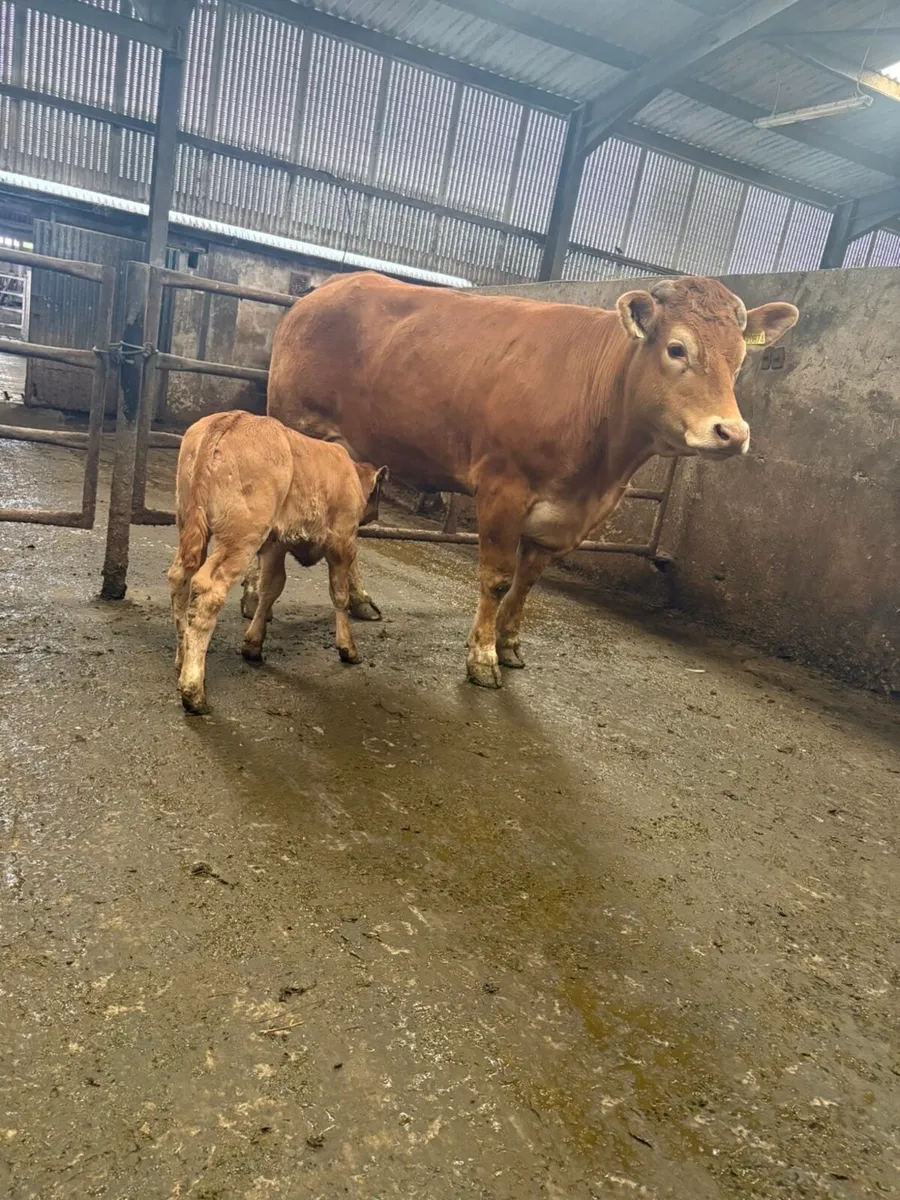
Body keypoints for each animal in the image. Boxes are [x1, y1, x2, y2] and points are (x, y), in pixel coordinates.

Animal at [168, 410, 387, 714]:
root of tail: (232, 418)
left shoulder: (275, 545)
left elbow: (271, 588)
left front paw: (253, 644)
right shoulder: (342, 542)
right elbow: (339, 594)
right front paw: (348, 648)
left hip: (189, 521)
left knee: (181, 578)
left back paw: (183, 660)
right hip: (241, 536)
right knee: (208, 589)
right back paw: (194, 692)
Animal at [242, 272, 798, 688]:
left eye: (739, 359)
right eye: (678, 349)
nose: (731, 433)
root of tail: (325, 289)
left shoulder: (565, 515)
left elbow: (528, 581)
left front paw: (509, 645)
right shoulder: (502, 489)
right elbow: (498, 577)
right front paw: (482, 658)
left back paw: (358, 599)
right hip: (295, 427)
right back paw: (251, 592)